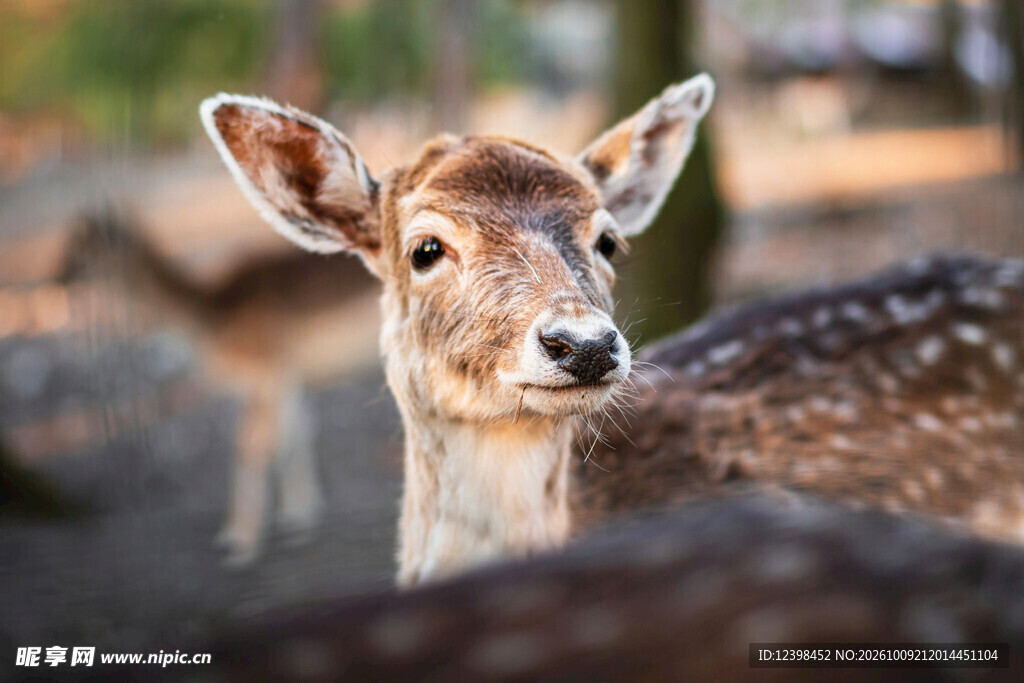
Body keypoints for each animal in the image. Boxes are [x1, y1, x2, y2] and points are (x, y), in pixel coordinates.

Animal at [59, 211, 378, 564]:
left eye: (84, 251)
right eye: (66, 242)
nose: (57, 278)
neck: (209, 320)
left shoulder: (263, 376)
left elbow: (251, 448)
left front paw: (239, 543)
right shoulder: (286, 378)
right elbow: (297, 434)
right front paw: (297, 518)